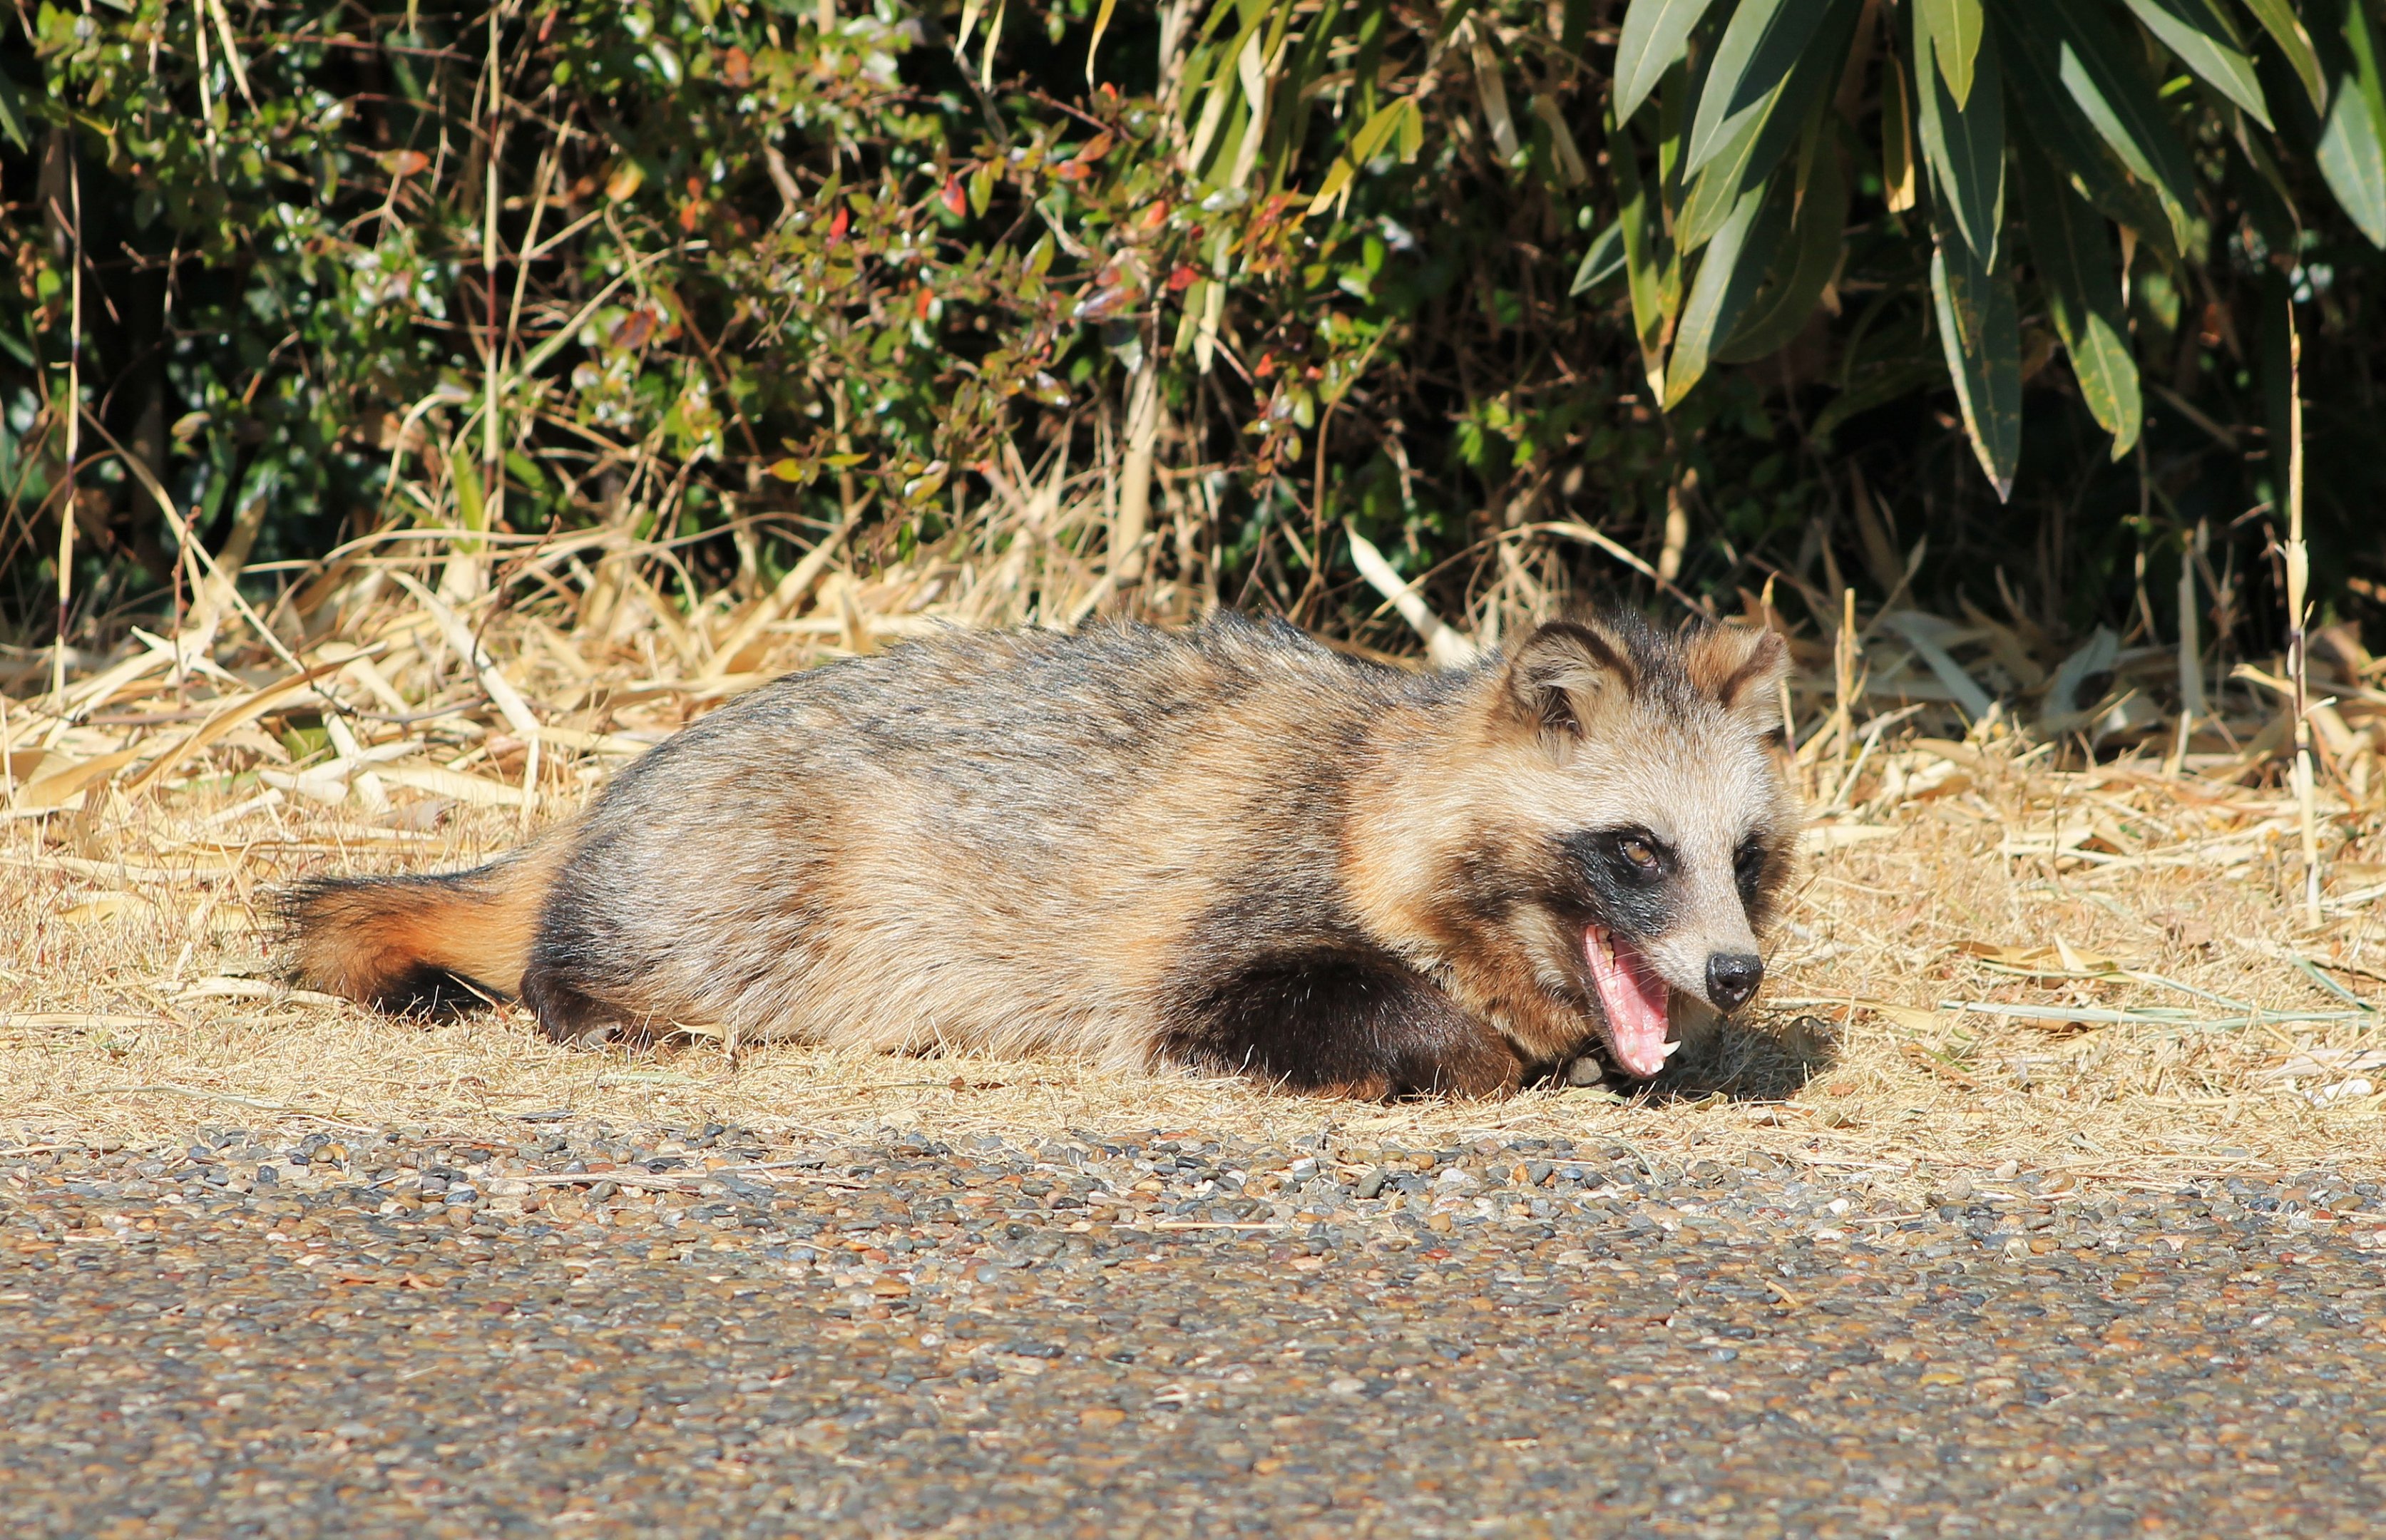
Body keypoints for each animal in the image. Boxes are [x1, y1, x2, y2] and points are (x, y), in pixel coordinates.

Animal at [284, 609, 1799, 1098]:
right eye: (1636, 850)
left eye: (1743, 856)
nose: (1736, 977)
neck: (1381, 774)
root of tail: (614, 795)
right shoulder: (1213, 932)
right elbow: (1416, 1030)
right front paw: (1475, 1049)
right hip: (752, 888)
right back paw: (590, 997)